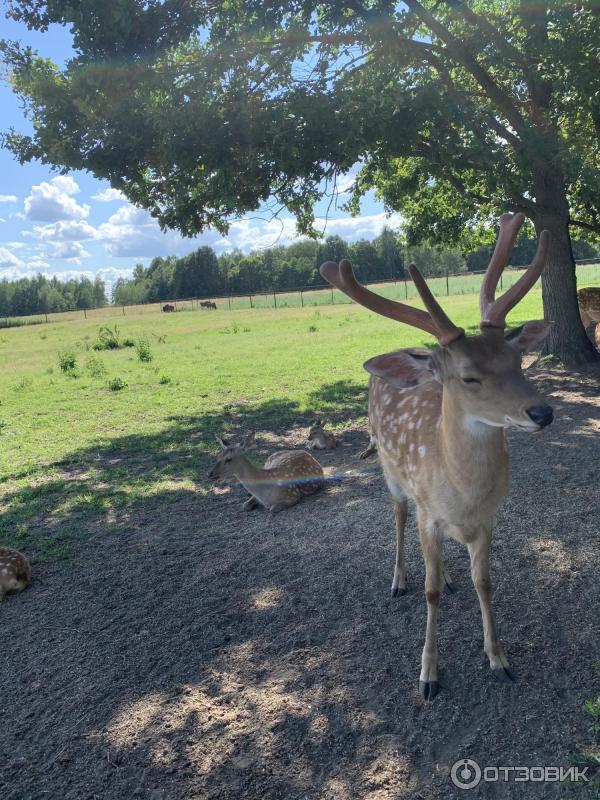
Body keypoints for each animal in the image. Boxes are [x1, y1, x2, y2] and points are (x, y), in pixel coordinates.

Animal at [324, 212, 552, 700]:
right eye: (468, 377)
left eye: (518, 361)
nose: (543, 412)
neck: (464, 493)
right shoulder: (429, 511)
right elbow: (429, 593)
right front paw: (427, 674)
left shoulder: (488, 518)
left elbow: (484, 582)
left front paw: (498, 659)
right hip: (391, 473)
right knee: (397, 517)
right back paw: (398, 580)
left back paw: (446, 574)